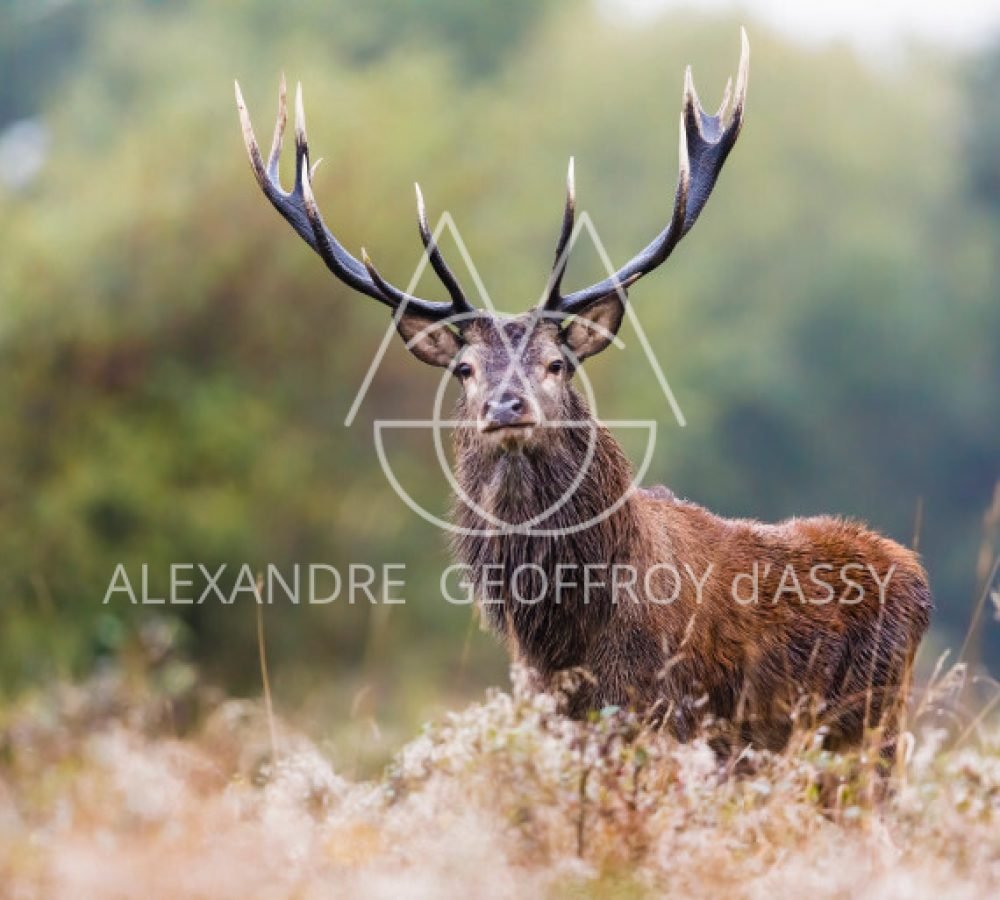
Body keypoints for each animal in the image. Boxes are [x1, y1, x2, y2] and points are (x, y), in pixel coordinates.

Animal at [236, 31, 931, 754]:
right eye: (466, 369)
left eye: (556, 363)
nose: (505, 406)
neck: (568, 628)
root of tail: (915, 575)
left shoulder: (663, 712)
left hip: (869, 727)